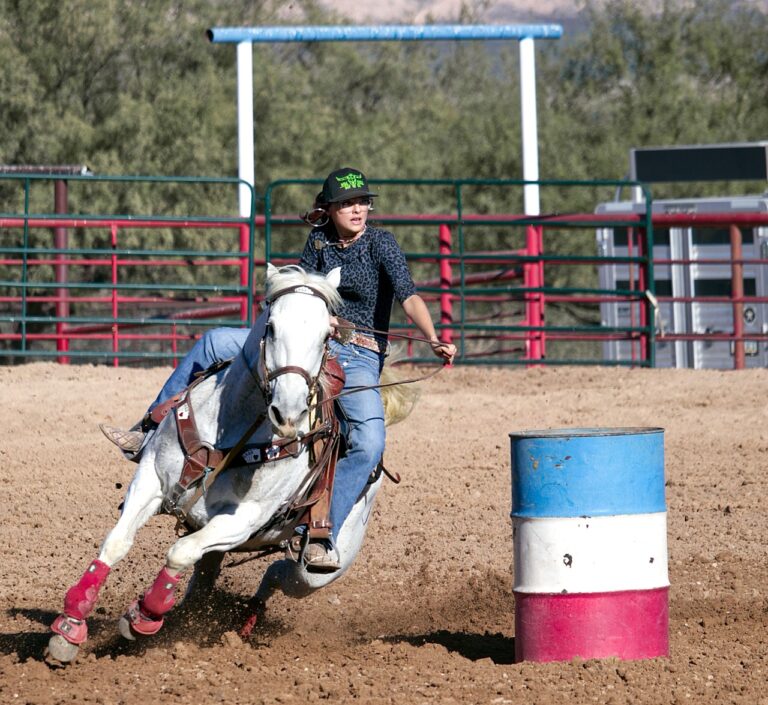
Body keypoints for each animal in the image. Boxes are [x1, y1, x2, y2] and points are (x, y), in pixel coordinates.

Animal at [45, 262, 392, 664]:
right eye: (272, 327)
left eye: (325, 337)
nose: (288, 414)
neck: (232, 430)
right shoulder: (151, 480)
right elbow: (117, 542)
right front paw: (70, 626)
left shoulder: (243, 520)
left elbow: (178, 553)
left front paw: (142, 617)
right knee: (209, 580)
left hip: (319, 570)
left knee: (278, 574)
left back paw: (245, 617)